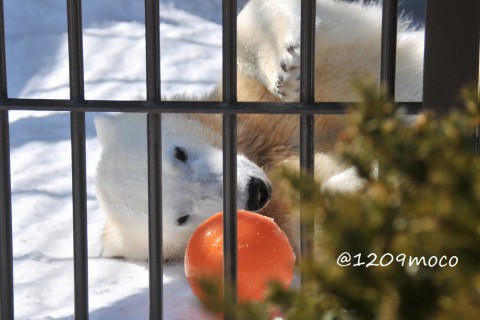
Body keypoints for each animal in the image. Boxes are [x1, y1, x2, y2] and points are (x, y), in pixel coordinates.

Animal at [96, 0, 428, 260]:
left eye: (179, 153)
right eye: (182, 218)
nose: (255, 191)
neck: (259, 147)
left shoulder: (261, 101)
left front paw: (286, 66)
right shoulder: (281, 212)